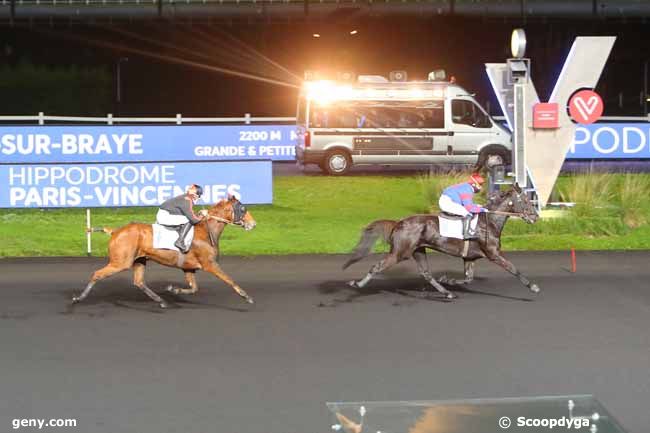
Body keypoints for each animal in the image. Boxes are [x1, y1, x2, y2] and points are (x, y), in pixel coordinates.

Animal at [73, 196, 256, 308]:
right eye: (243, 208)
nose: (253, 224)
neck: (205, 231)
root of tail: (115, 231)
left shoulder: (188, 267)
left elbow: (194, 288)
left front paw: (173, 289)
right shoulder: (210, 264)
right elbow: (229, 279)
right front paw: (246, 296)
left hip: (139, 260)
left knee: (139, 282)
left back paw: (161, 301)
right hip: (120, 262)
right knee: (97, 274)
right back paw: (78, 298)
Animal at [344, 184, 536, 298]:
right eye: (526, 201)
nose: (535, 217)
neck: (489, 222)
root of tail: (398, 223)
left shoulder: (469, 257)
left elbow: (468, 278)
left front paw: (448, 280)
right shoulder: (494, 254)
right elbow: (514, 269)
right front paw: (533, 287)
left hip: (418, 250)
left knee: (426, 273)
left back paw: (447, 292)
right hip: (400, 253)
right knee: (377, 267)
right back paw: (357, 284)